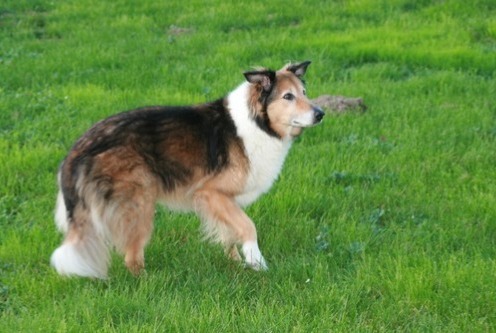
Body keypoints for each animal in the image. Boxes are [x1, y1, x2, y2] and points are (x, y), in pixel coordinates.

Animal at [49, 60, 322, 278]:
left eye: (304, 92)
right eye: (288, 96)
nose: (320, 114)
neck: (258, 123)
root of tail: (80, 147)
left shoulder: (225, 200)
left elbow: (230, 233)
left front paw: (235, 263)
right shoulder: (209, 192)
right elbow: (248, 227)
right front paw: (257, 263)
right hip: (140, 202)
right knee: (132, 257)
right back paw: (148, 282)